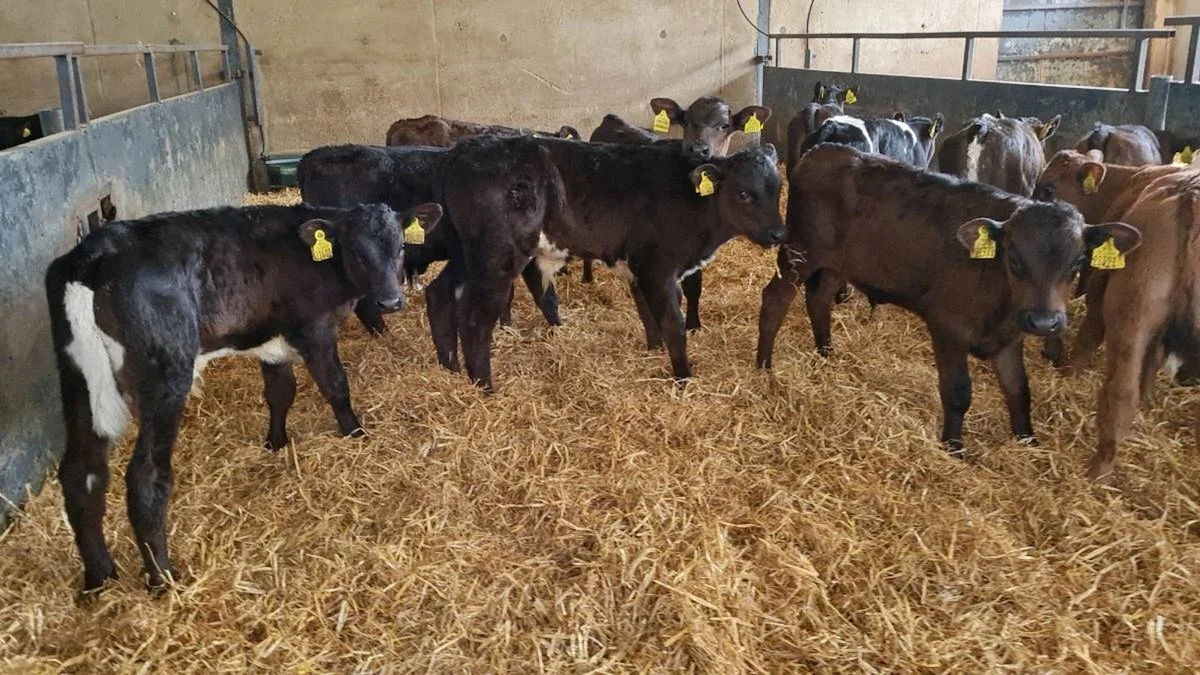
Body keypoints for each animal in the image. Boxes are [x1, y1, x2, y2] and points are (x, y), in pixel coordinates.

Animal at [45, 201, 440, 592]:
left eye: (401, 247)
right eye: (357, 251)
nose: (391, 301)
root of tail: (95, 252)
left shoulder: (273, 340)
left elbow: (280, 392)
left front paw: (275, 443)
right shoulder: (315, 329)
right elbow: (336, 386)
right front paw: (356, 433)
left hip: (80, 378)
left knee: (82, 472)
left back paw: (98, 576)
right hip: (164, 375)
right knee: (145, 476)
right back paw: (163, 579)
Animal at [436, 135, 785, 391]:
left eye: (779, 187)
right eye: (743, 193)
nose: (779, 233)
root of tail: (465, 149)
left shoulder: (639, 269)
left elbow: (647, 314)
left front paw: (654, 351)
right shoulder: (657, 269)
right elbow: (673, 324)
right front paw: (684, 377)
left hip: (468, 255)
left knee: (445, 296)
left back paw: (454, 366)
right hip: (496, 257)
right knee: (475, 320)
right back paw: (485, 387)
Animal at [756, 144, 1136, 454]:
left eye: (1078, 262)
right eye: (1014, 258)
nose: (1043, 321)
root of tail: (822, 151)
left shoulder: (1008, 339)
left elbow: (1019, 390)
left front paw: (1028, 441)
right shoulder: (948, 328)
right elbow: (957, 392)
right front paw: (954, 447)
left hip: (839, 264)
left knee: (819, 299)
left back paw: (826, 352)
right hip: (800, 253)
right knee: (775, 299)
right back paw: (764, 365)